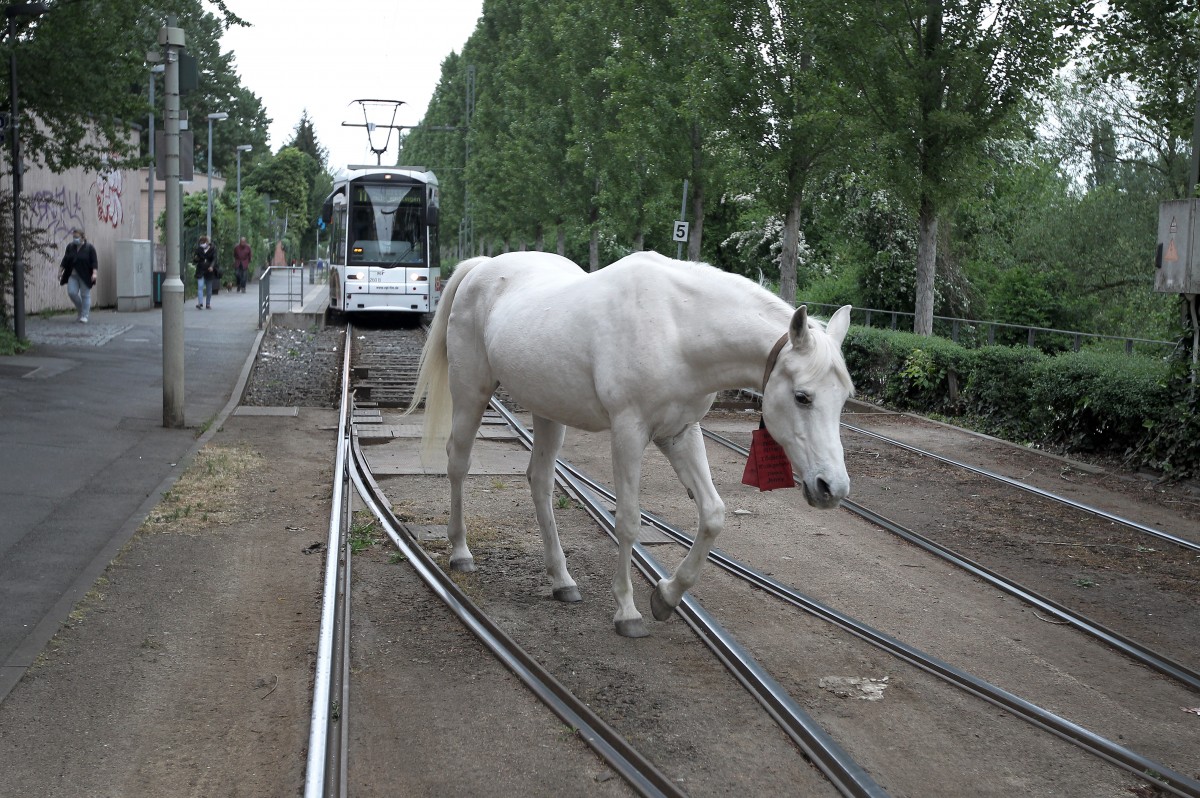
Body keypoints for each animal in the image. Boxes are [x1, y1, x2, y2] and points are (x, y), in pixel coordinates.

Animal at [406, 250, 854, 637]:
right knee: (458, 463)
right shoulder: (629, 433)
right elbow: (627, 522)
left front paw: (667, 596)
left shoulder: (680, 432)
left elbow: (713, 515)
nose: (832, 488)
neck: (677, 326)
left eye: (844, 397)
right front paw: (627, 610)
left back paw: (562, 580)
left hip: (548, 411)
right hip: (471, 393)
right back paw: (461, 553)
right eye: (802, 397)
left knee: (541, 481)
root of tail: (482, 266)